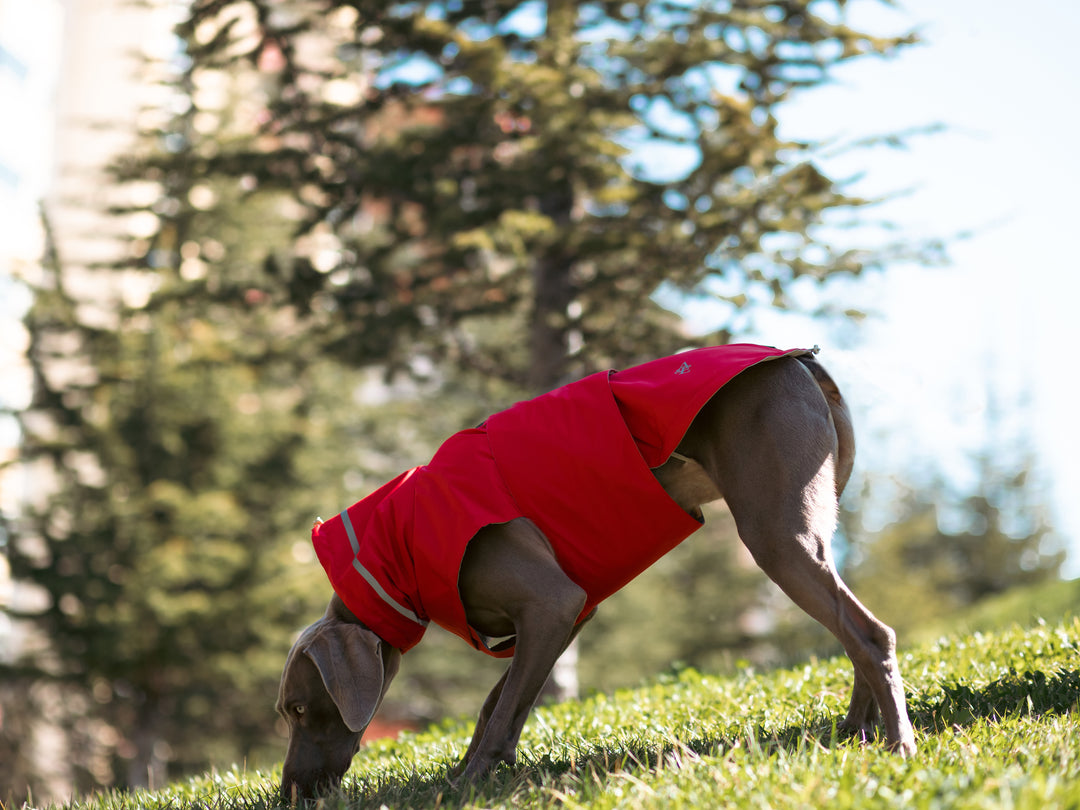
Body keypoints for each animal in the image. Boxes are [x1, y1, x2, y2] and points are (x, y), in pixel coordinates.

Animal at [274, 345, 915, 803]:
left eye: (300, 709)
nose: (289, 795)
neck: (397, 548)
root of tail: (800, 362)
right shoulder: (574, 608)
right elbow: (500, 700)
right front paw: (473, 771)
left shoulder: (552, 601)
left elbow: (502, 708)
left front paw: (469, 782)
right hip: (813, 523)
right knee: (854, 628)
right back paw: (857, 733)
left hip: (775, 533)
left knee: (870, 634)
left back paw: (898, 745)